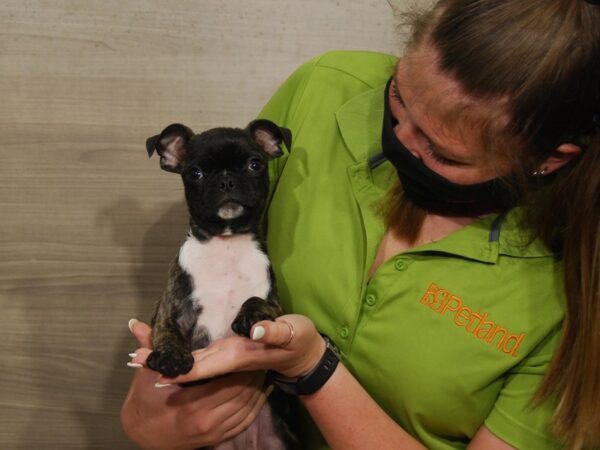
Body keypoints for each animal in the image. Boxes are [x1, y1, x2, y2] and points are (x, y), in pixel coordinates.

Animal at [144, 119, 298, 450]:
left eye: (255, 164)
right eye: (194, 173)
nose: (226, 180)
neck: (226, 242)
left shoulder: (278, 307)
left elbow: (256, 300)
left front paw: (249, 315)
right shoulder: (169, 309)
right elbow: (166, 331)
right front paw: (171, 356)